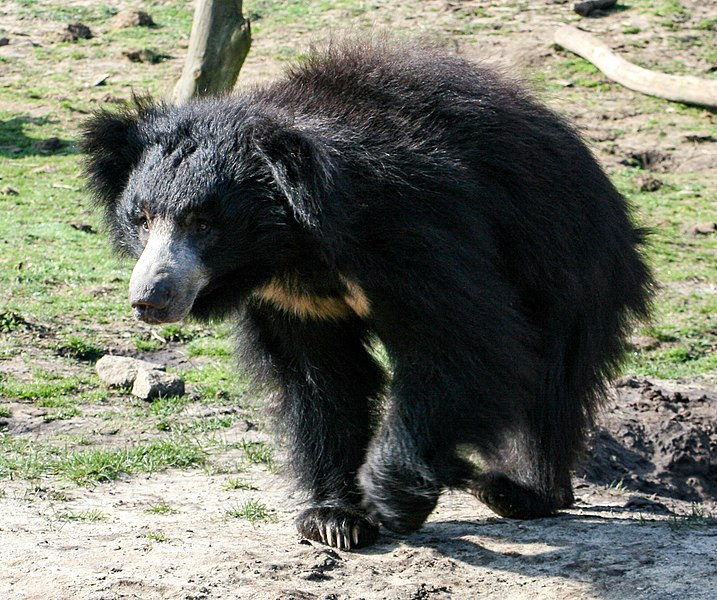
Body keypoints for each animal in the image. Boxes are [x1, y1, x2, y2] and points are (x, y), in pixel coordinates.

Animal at [81, 39, 652, 552]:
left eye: (203, 223)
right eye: (142, 218)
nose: (149, 298)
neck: (292, 249)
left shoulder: (411, 233)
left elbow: (465, 346)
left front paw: (395, 497)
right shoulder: (291, 301)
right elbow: (324, 381)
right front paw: (334, 519)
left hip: (571, 260)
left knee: (555, 377)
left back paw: (518, 491)